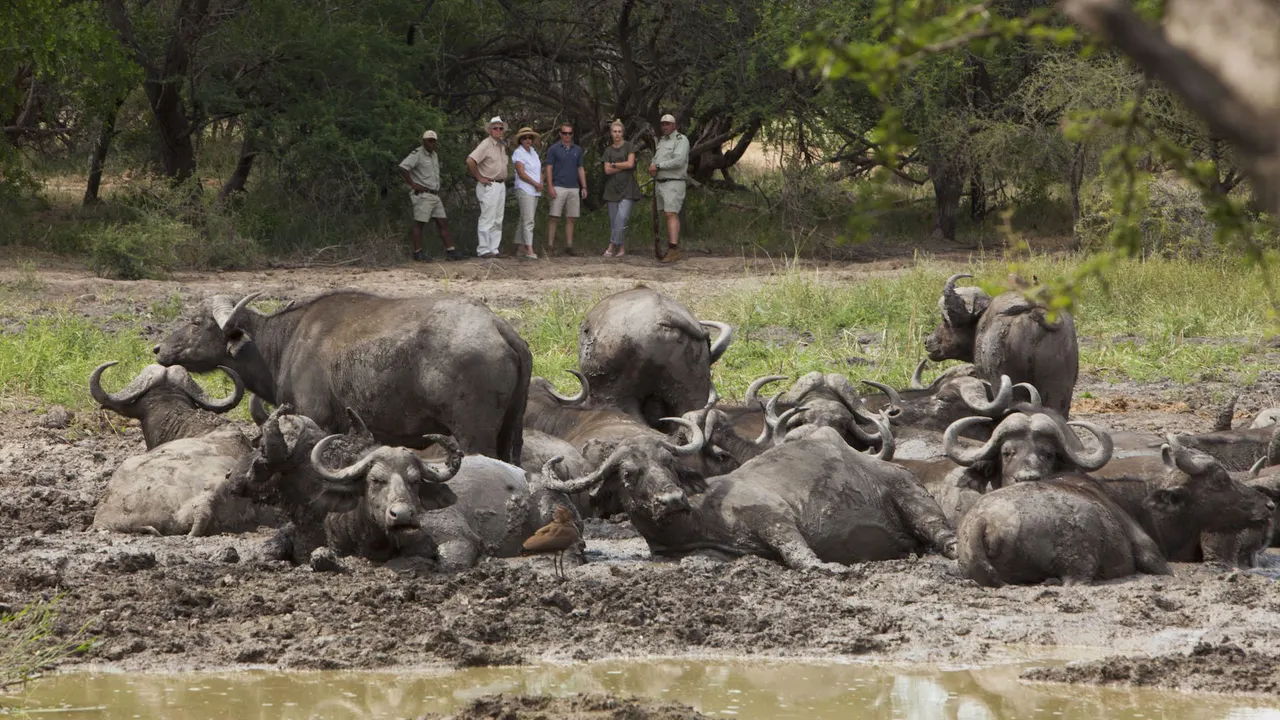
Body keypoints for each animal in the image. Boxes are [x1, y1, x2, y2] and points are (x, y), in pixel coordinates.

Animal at [154, 289, 532, 464]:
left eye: (196, 322)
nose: (158, 349)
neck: (286, 341)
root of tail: (498, 327)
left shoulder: (318, 420)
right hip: (511, 432)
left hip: (474, 434)